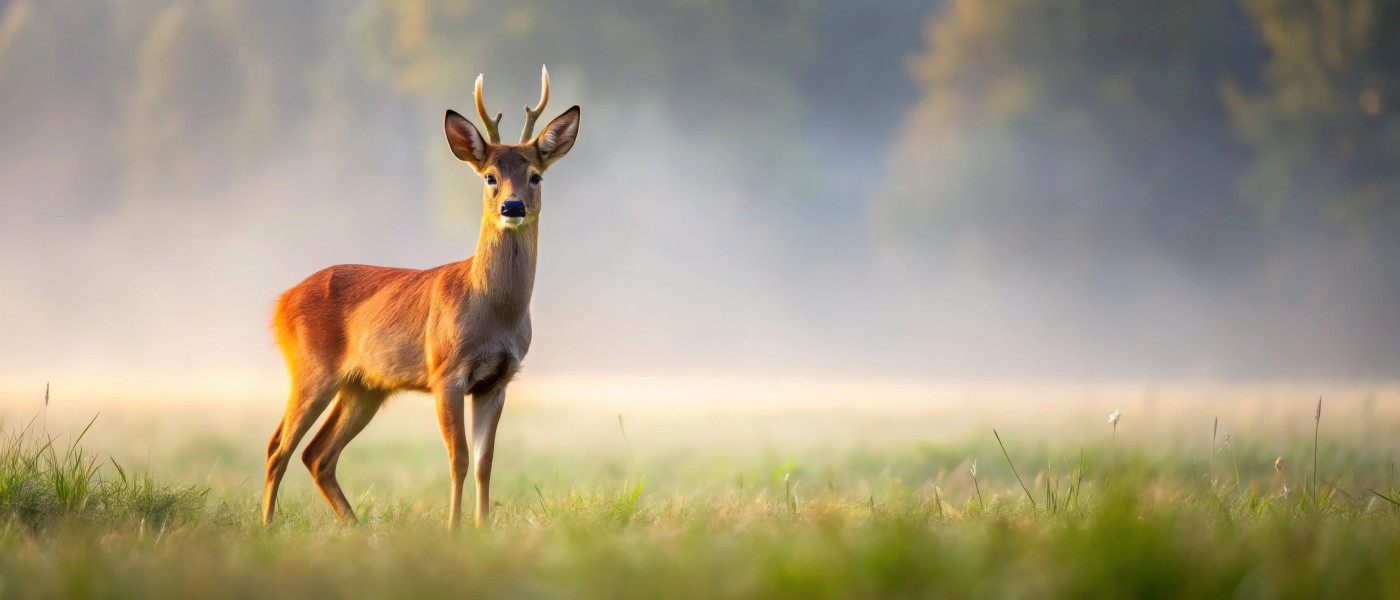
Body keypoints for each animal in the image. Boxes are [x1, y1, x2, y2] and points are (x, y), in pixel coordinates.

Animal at [261, 66, 579, 530]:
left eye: (536, 176)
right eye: (489, 176)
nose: (513, 206)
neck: (495, 311)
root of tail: (280, 302)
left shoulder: (498, 380)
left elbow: (485, 463)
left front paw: (483, 529)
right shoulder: (446, 370)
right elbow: (458, 458)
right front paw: (453, 529)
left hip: (364, 386)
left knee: (316, 454)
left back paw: (354, 527)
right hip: (310, 369)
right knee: (278, 447)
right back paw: (267, 528)